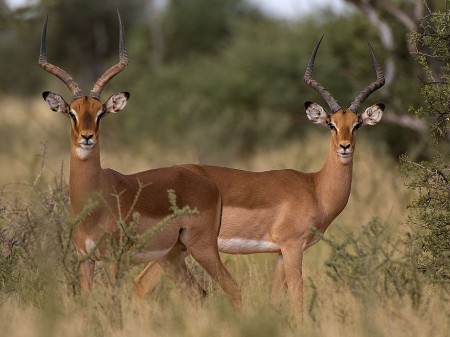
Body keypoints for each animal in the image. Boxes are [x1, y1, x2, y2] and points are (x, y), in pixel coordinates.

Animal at [37, 12, 243, 304]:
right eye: (71, 112)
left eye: (100, 112)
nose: (87, 137)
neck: (95, 199)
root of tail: (209, 182)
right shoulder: (85, 259)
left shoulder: (115, 260)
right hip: (173, 255)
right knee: (198, 293)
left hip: (202, 248)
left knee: (234, 289)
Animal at [135, 36, 384, 316]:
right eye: (331, 124)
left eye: (357, 124)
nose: (345, 147)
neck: (315, 187)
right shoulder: (292, 247)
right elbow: (297, 298)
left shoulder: (279, 253)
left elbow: (275, 299)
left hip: (174, 249)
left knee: (141, 284)